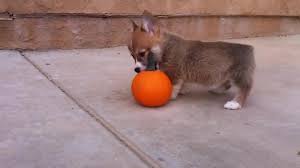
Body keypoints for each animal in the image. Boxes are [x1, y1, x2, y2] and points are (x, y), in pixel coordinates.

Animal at [127, 10, 255, 110]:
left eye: (142, 53)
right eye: (132, 56)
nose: (136, 70)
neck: (165, 46)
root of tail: (249, 48)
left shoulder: (174, 73)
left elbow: (173, 86)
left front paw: (171, 96)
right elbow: (183, 83)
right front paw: (183, 90)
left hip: (238, 74)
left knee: (245, 87)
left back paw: (235, 103)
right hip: (225, 73)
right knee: (227, 83)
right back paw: (217, 90)